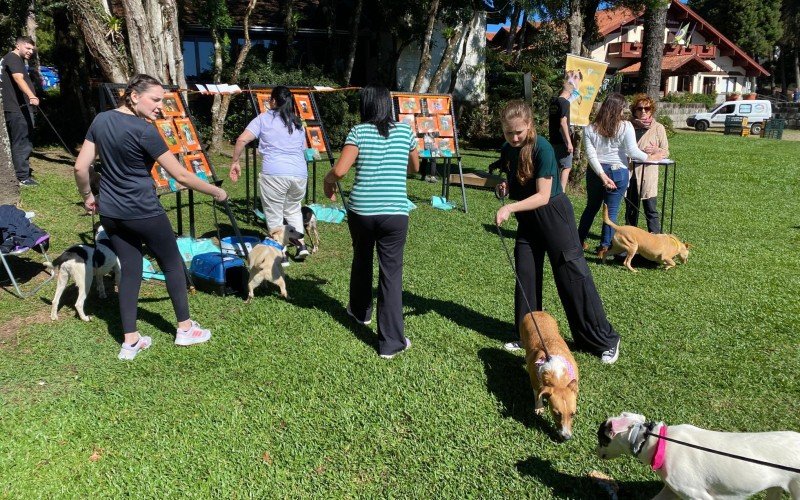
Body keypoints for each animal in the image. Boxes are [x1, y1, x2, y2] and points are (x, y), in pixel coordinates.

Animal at [520, 312, 580, 442]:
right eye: (556, 413)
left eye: (573, 414)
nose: (566, 438)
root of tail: (536, 312)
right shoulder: (535, 381)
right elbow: (537, 394)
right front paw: (539, 408)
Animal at [592, 412, 800, 498]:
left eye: (601, 438)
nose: (595, 452)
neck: (656, 441)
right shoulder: (671, 490)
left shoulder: (698, 494)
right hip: (775, 487)